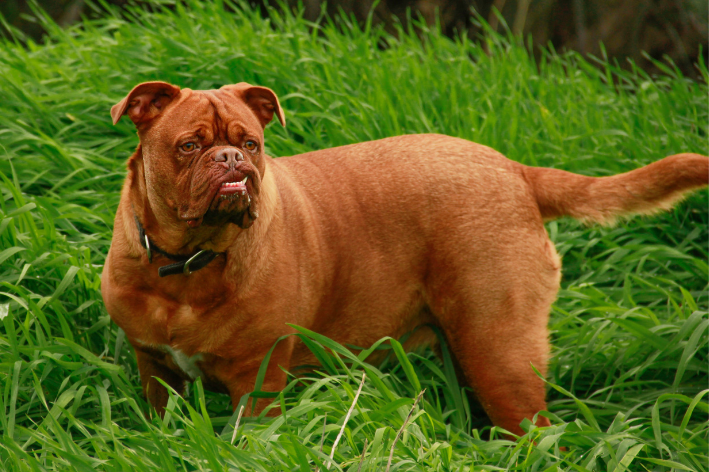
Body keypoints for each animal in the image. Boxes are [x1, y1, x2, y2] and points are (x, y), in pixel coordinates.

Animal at [101, 80, 708, 436]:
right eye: (189, 145)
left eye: (251, 143)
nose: (232, 159)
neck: (186, 266)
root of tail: (516, 171)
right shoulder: (155, 371)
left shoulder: (257, 380)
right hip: (470, 351)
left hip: (500, 350)